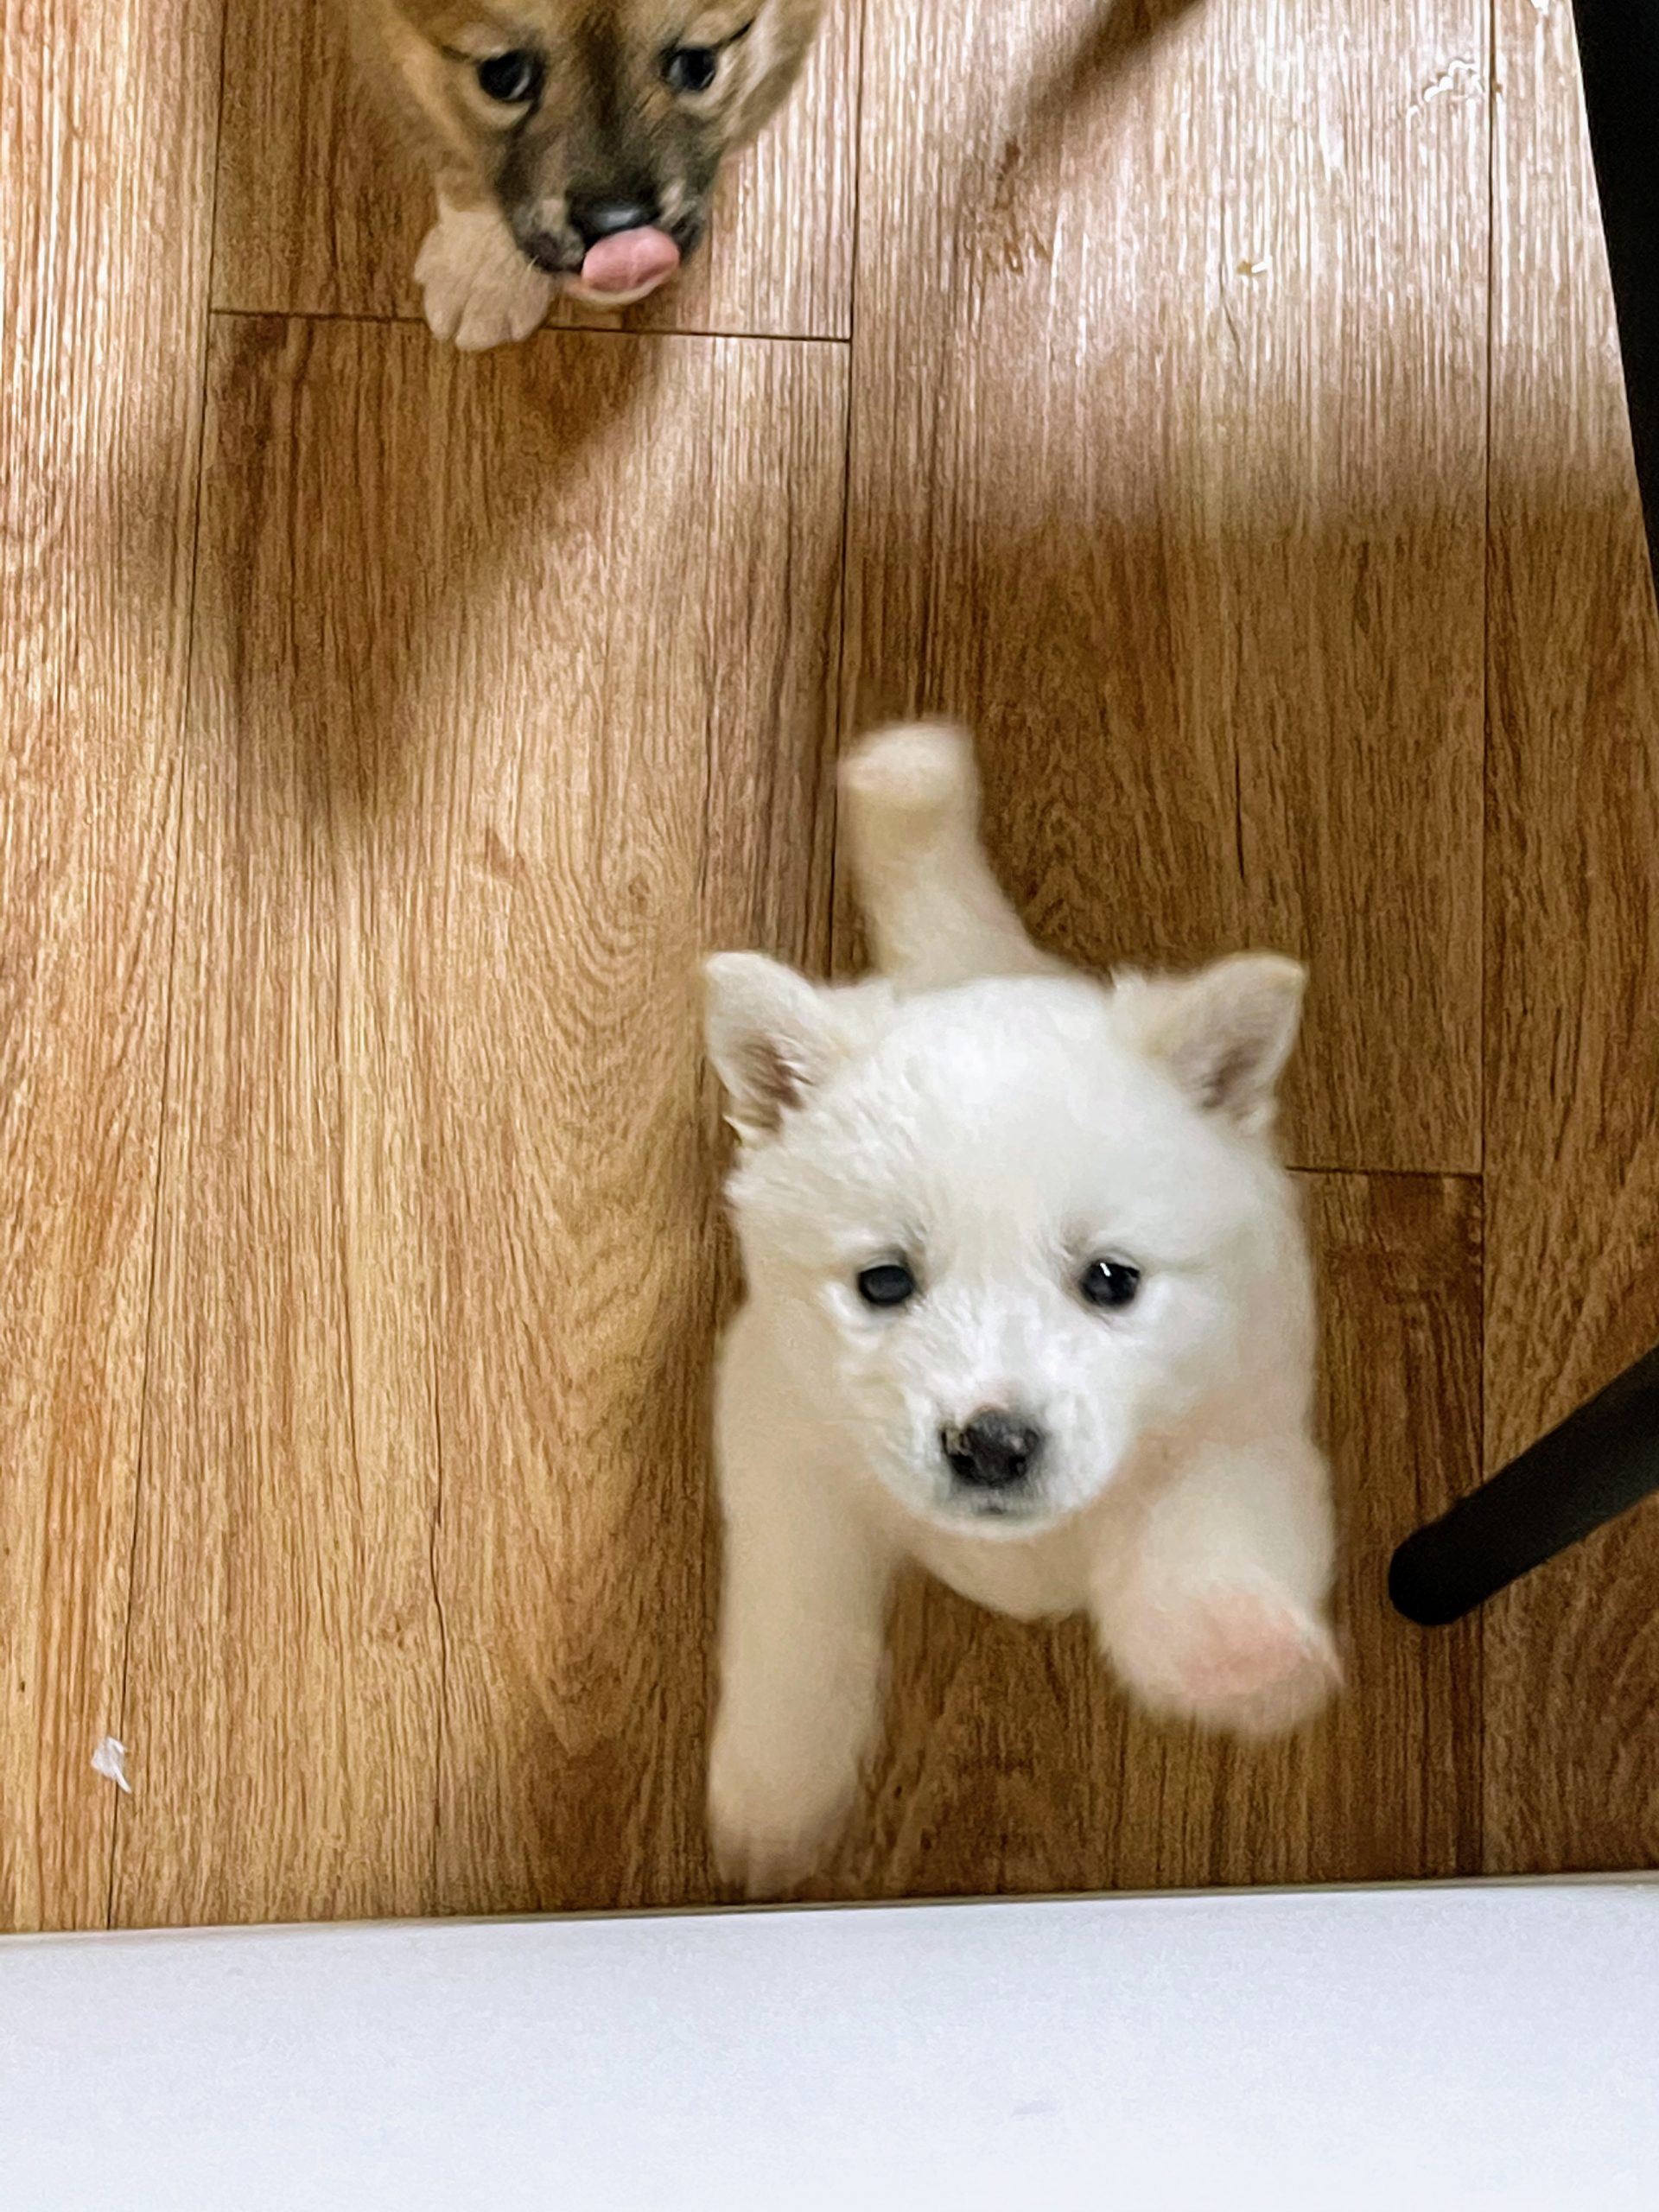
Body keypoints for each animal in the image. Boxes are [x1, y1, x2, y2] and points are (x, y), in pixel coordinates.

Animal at [703, 724, 1340, 1895]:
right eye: (884, 1281)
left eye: (1112, 1280)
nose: (992, 1444)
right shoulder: (785, 1440)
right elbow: (798, 1624)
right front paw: (776, 1790)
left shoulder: (1238, 1420)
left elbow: (1205, 1539)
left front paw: (1238, 1652)